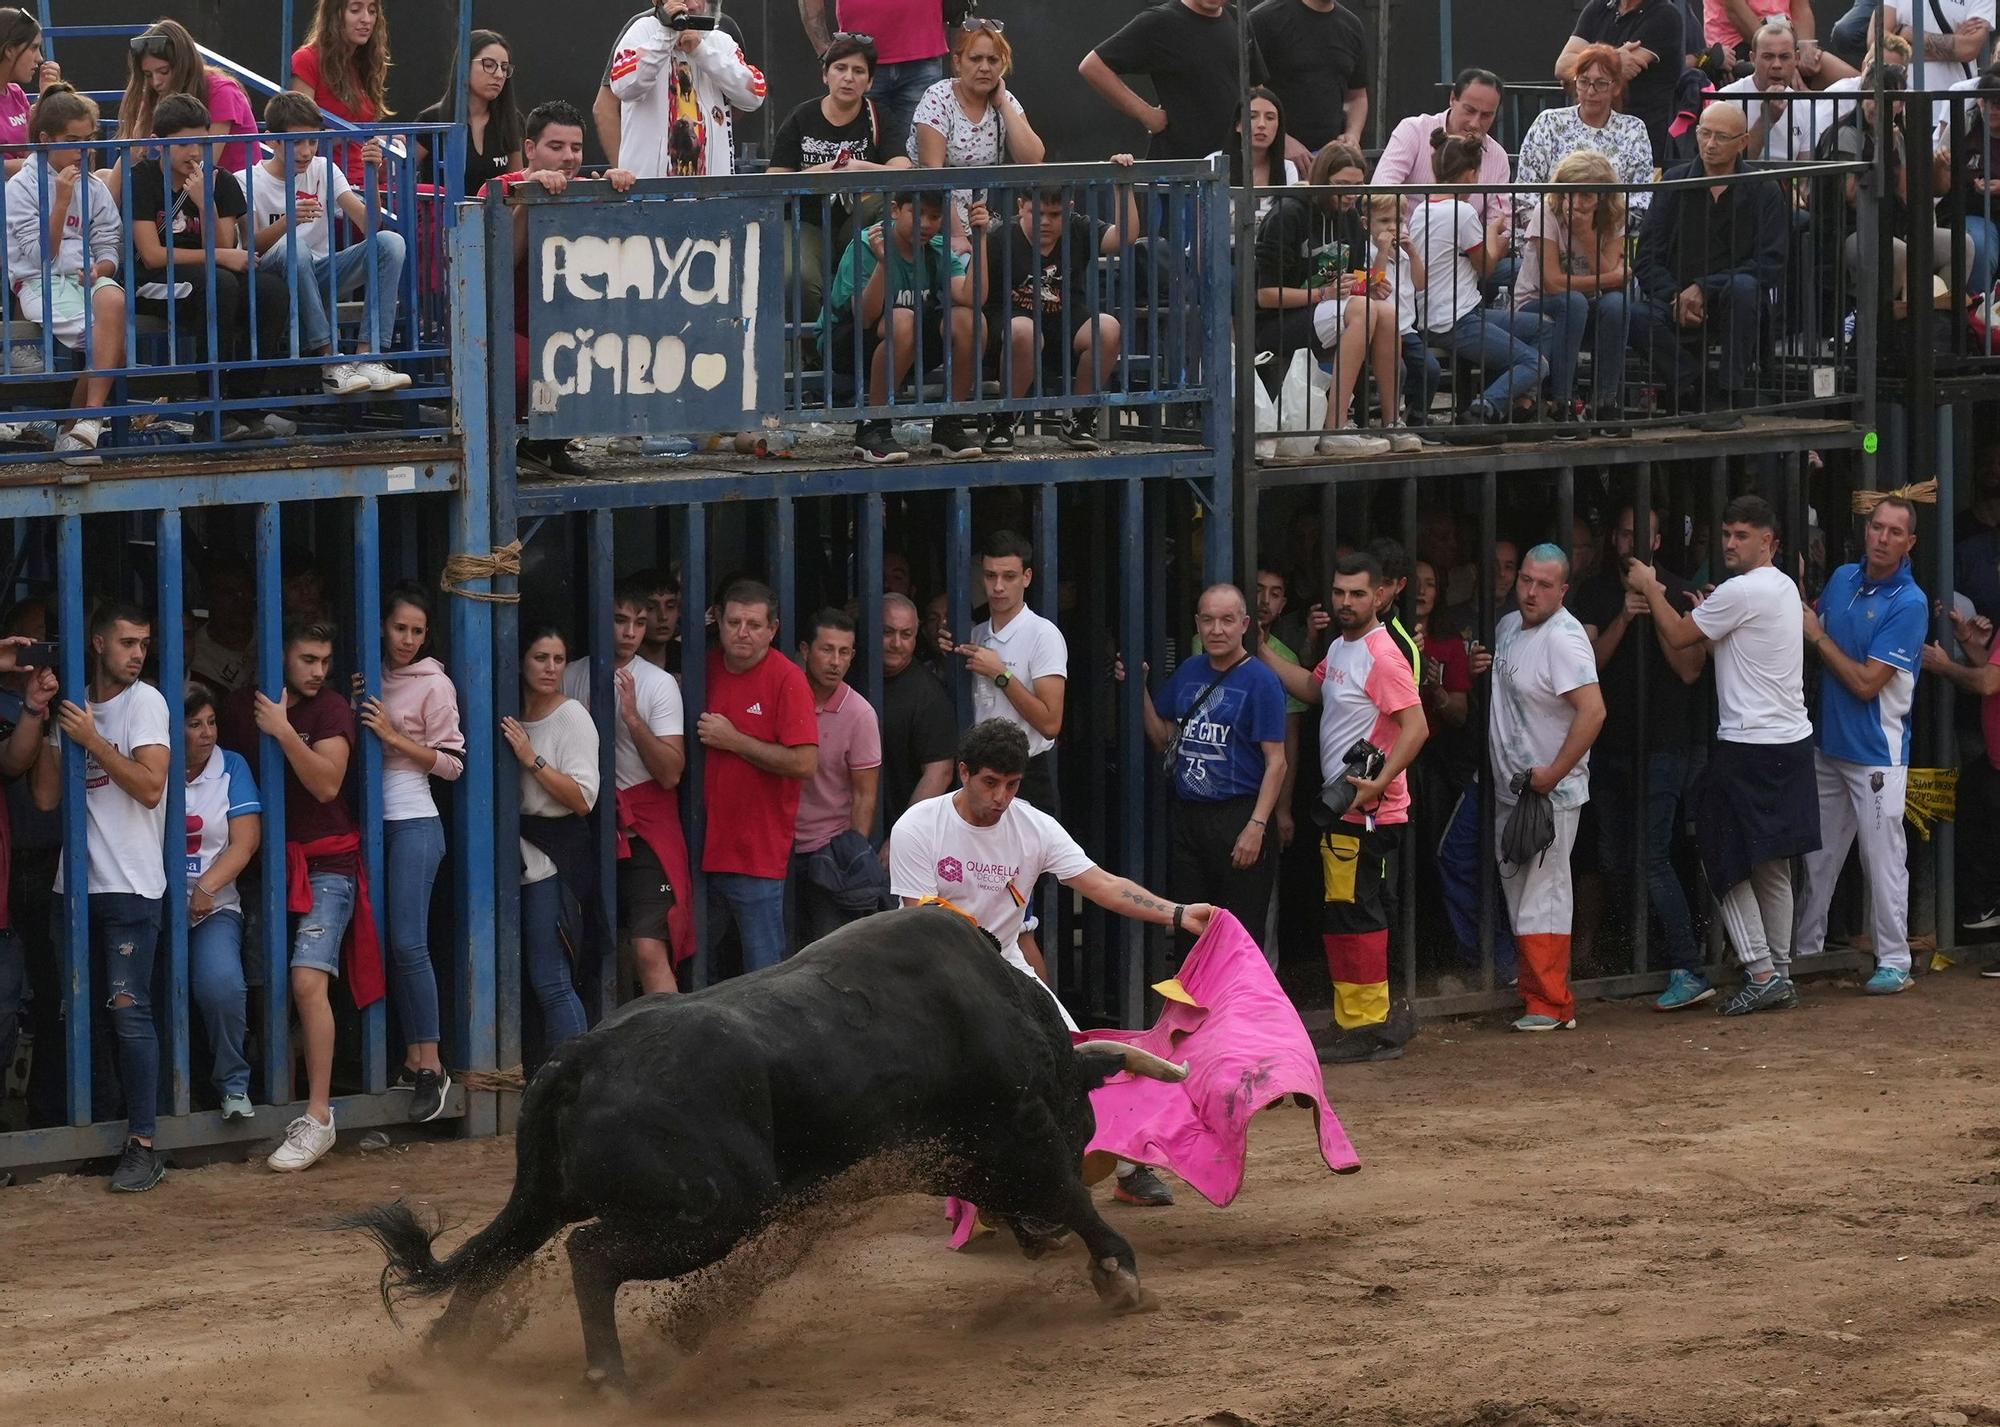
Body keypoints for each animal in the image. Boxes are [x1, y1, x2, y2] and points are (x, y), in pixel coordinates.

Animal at [348, 907, 1184, 1383]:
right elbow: (1068, 1189)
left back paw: (438, 1366)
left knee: (495, 1257)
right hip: (715, 1208)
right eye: (1084, 1126)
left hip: (549, 1198)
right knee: (589, 1253)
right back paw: (607, 1374)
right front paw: (1118, 1273)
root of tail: (582, 1055)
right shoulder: (1015, 1132)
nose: (1037, 1240)